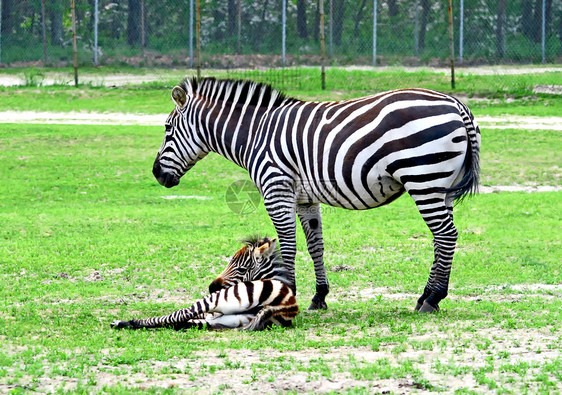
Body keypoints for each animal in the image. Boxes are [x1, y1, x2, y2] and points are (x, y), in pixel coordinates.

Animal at [111, 237, 300, 332]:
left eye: (242, 268)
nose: (211, 287)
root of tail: (287, 305)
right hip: (232, 318)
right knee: (185, 321)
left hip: (221, 299)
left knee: (179, 315)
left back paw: (123, 323)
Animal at [153, 77, 482, 312]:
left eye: (168, 128)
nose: (156, 174)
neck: (255, 133)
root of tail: (457, 104)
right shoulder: (305, 199)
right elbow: (315, 246)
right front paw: (319, 297)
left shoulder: (276, 189)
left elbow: (287, 246)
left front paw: (287, 291)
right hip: (441, 186)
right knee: (443, 238)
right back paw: (427, 296)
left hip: (423, 178)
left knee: (446, 235)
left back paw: (433, 297)